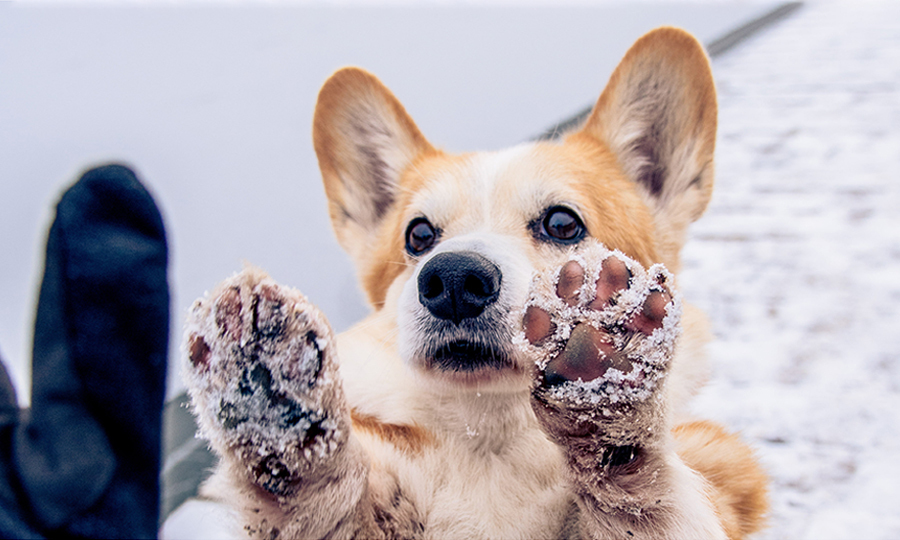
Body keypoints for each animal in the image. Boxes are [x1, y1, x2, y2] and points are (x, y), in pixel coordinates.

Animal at [181, 26, 768, 540]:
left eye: (562, 223)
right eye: (419, 235)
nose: (454, 279)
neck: (491, 439)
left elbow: (644, 498)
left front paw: (604, 379)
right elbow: (327, 505)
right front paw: (271, 395)